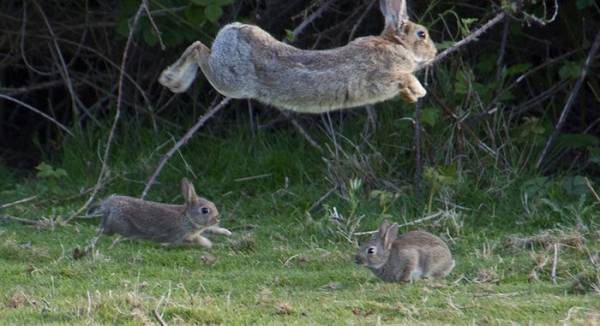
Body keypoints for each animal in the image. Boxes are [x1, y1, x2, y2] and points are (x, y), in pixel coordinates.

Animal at [89, 178, 232, 247]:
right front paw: (208, 244)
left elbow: (211, 230)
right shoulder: (182, 235)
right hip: (120, 225)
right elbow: (195, 239)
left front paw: (227, 233)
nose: (217, 219)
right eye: (205, 210)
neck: (187, 217)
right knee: (105, 230)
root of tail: (109, 203)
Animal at [159, 0, 438, 114]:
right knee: (198, 49)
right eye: (422, 34)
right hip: (231, 81)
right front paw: (419, 91)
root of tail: (233, 29)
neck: (396, 45)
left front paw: (413, 97)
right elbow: (404, 78)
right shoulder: (383, 74)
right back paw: (172, 80)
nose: (434, 53)